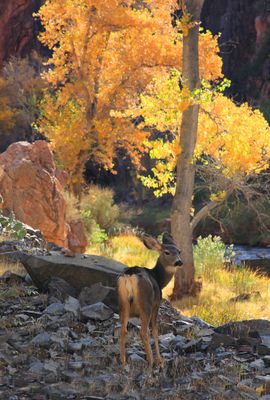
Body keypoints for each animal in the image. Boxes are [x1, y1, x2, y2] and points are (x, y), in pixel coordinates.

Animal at [117, 233, 182, 368]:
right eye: (167, 252)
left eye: (179, 251)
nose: (179, 262)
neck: (159, 279)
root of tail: (130, 276)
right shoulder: (156, 305)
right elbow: (155, 332)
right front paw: (160, 361)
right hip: (145, 303)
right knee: (143, 332)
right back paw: (151, 361)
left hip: (122, 302)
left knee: (123, 330)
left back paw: (123, 361)